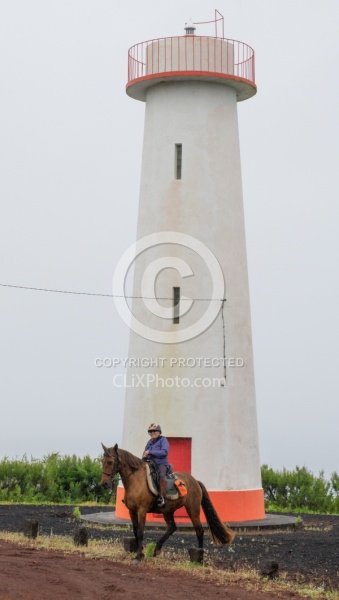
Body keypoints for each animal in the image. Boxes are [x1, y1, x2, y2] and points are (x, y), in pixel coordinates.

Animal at [99, 440, 235, 564]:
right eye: (102, 462)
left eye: (110, 462)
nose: (104, 484)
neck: (135, 480)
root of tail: (195, 481)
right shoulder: (132, 511)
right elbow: (135, 531)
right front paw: (140, 553)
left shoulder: (142, 511)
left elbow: (140, 532)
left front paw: (138, 557)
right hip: (167, 511)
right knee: (172, 528)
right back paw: (157, 549)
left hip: (193, 509)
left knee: (199, 530)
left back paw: (198, 557)